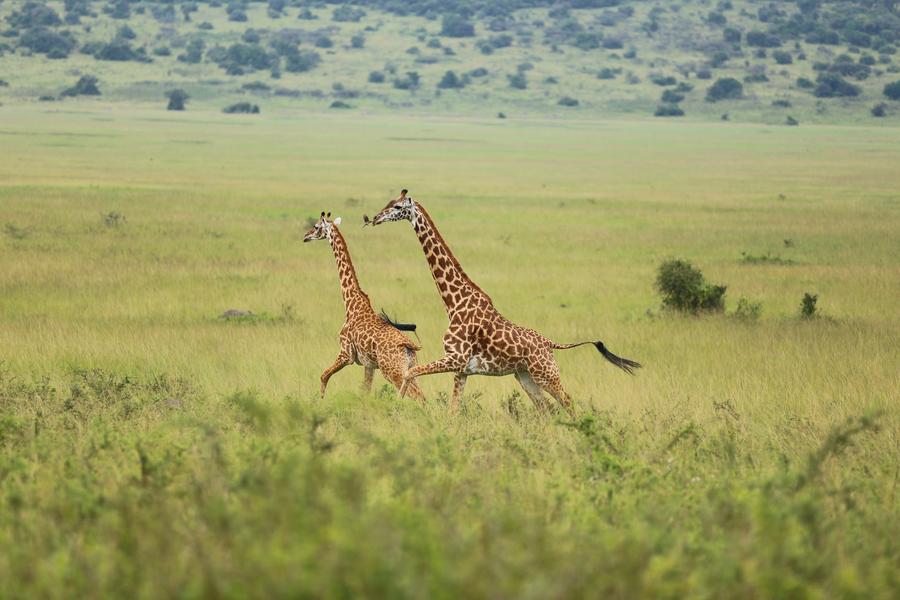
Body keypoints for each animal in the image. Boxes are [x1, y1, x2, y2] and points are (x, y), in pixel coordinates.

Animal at [304, 212, 425, 401]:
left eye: (316, 226)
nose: (306, 236)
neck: (351, 303)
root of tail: (409, 346)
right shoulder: (369, 364)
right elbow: (365, 391)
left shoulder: (346, 353)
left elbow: (323, 376)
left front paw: (319, 401)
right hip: (409, 369)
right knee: (421, 396)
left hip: (392, 370)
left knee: (416, 395)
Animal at [365, 191, 640, 414]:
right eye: (388, 202)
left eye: (398, 207)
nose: (374, 218)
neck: (453, 303)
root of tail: (551, 344)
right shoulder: (461, 370)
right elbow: (452, 410)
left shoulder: (455, 359)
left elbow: (409, 373)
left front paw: (397, 406)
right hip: (524, 376)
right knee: (545, 409)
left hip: (546, 374)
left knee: (568, 403)